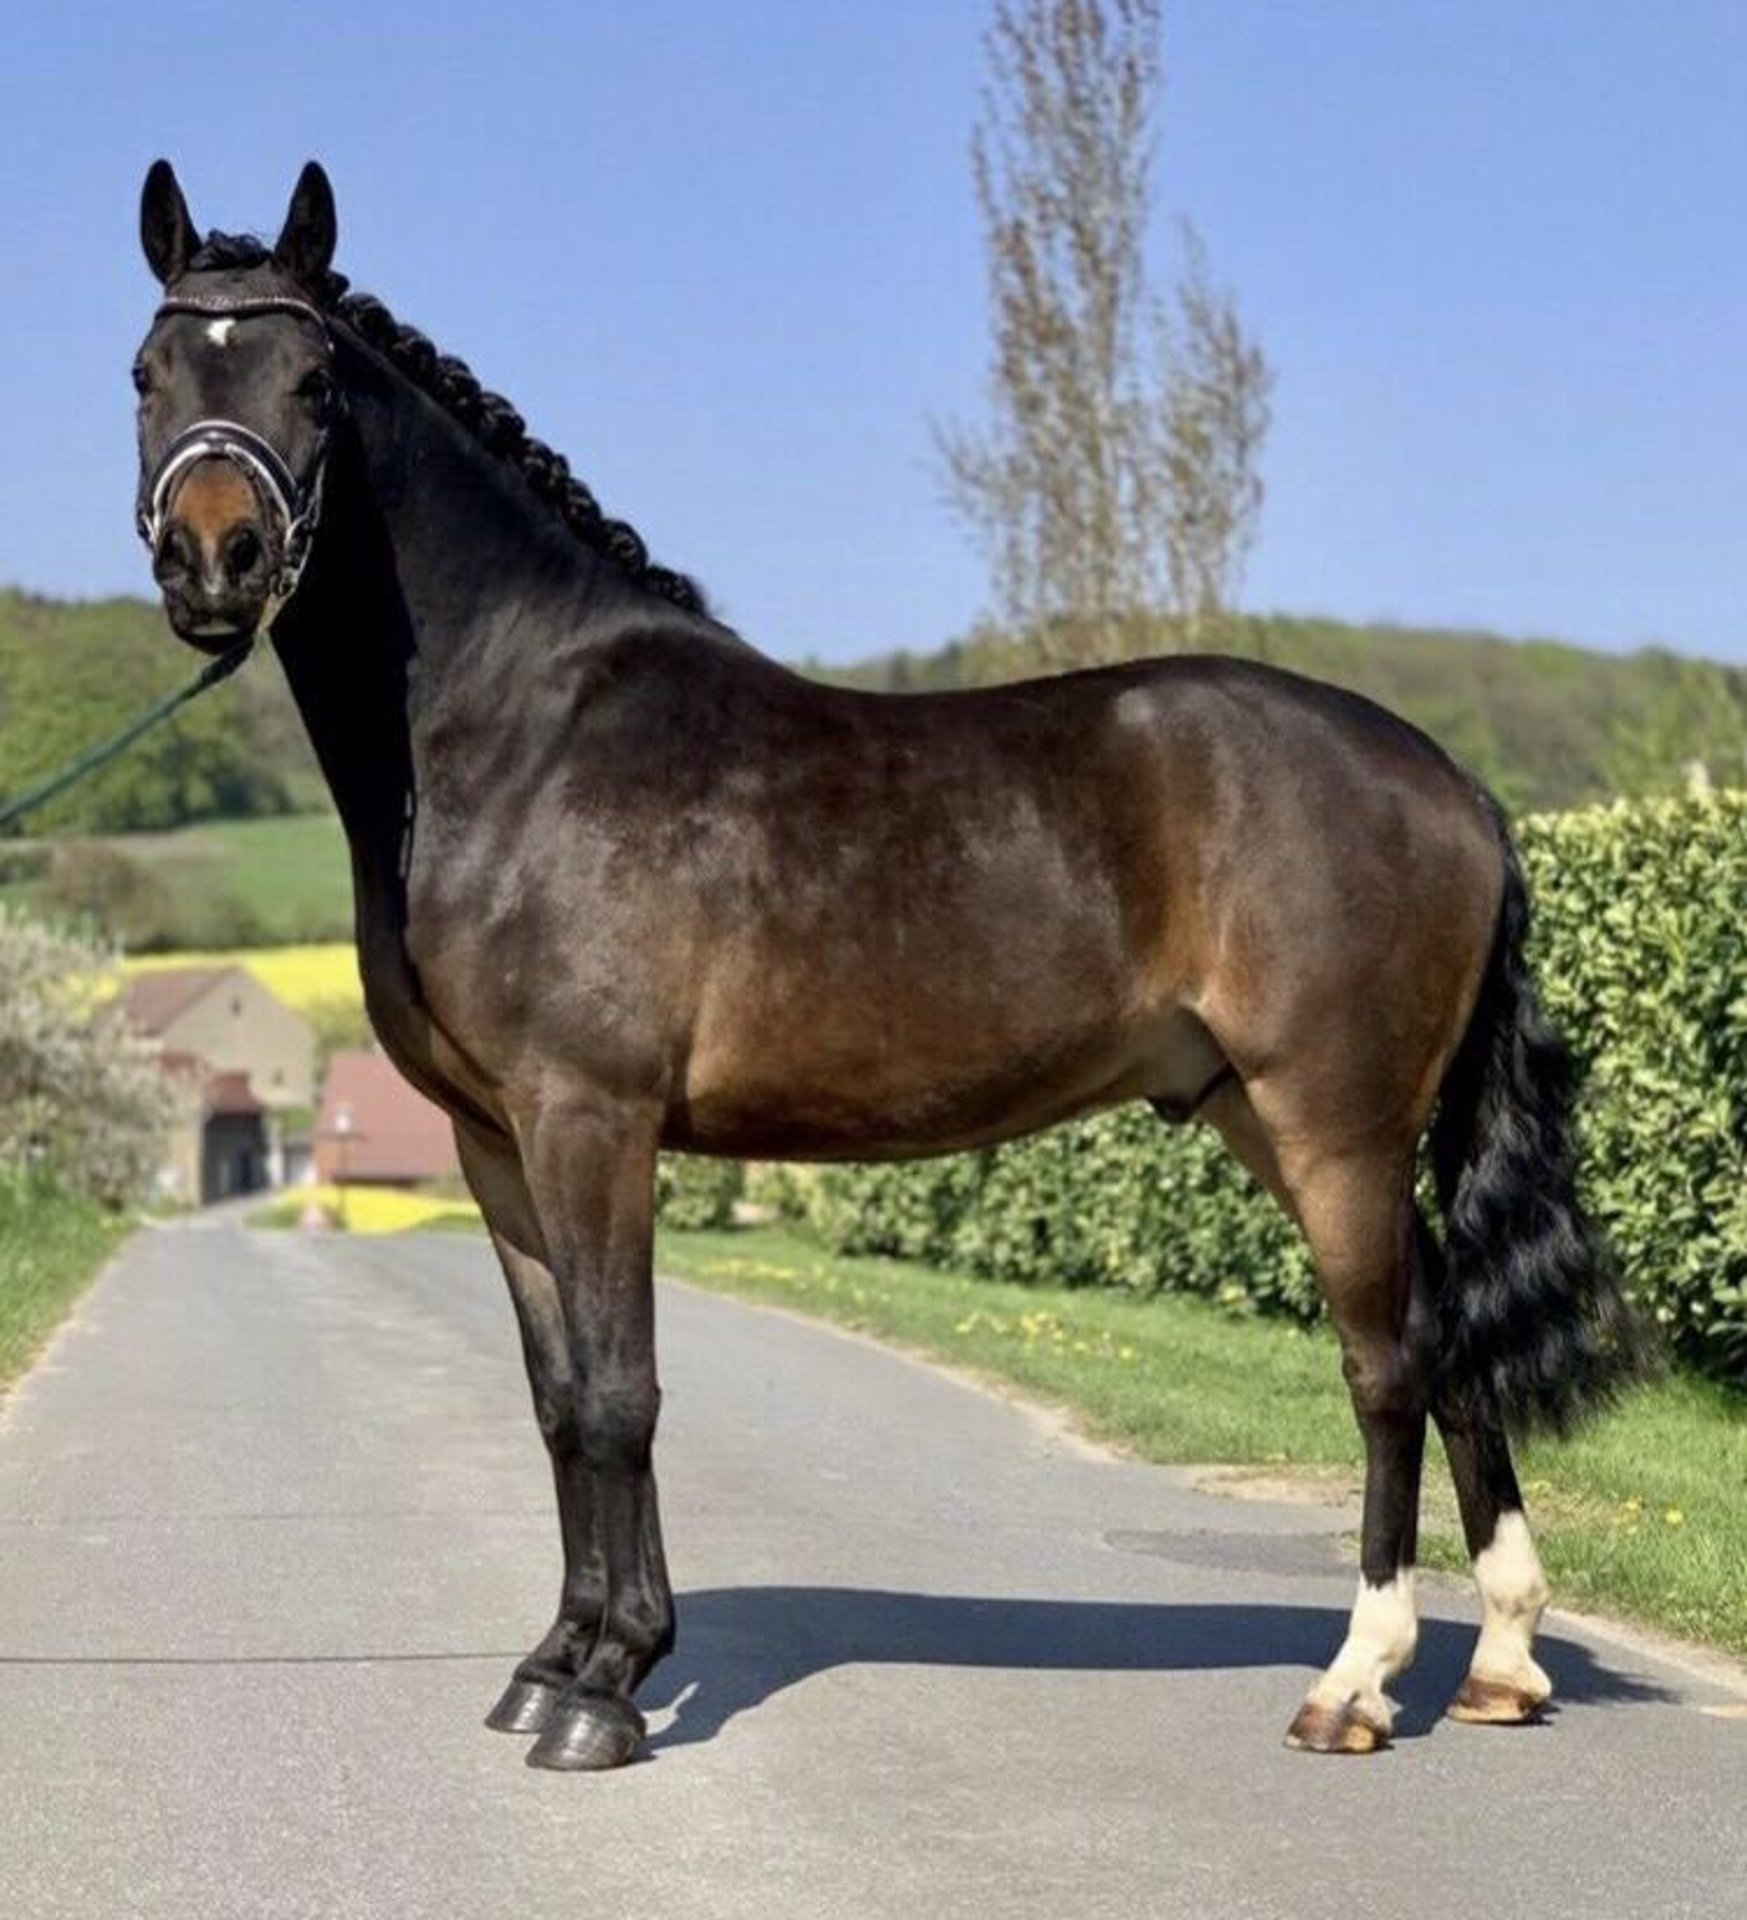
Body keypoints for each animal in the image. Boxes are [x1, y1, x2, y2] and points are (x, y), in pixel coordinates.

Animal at [129, 161, 1651, 1766]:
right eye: (148, 375)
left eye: (312, 384)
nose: (214, 560)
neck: (523, 731)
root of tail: (1449, 784)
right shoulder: (495, 1141)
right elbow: (555, 1398)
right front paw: (554, 1664)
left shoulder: (590, 1120)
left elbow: (619, 1393)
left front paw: (606, 1689)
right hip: (1270, 1115)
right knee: (1447, 1341)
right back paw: (1500, 1663)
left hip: (1334, 1125)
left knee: (1386, 1367)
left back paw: (1353, 1682)